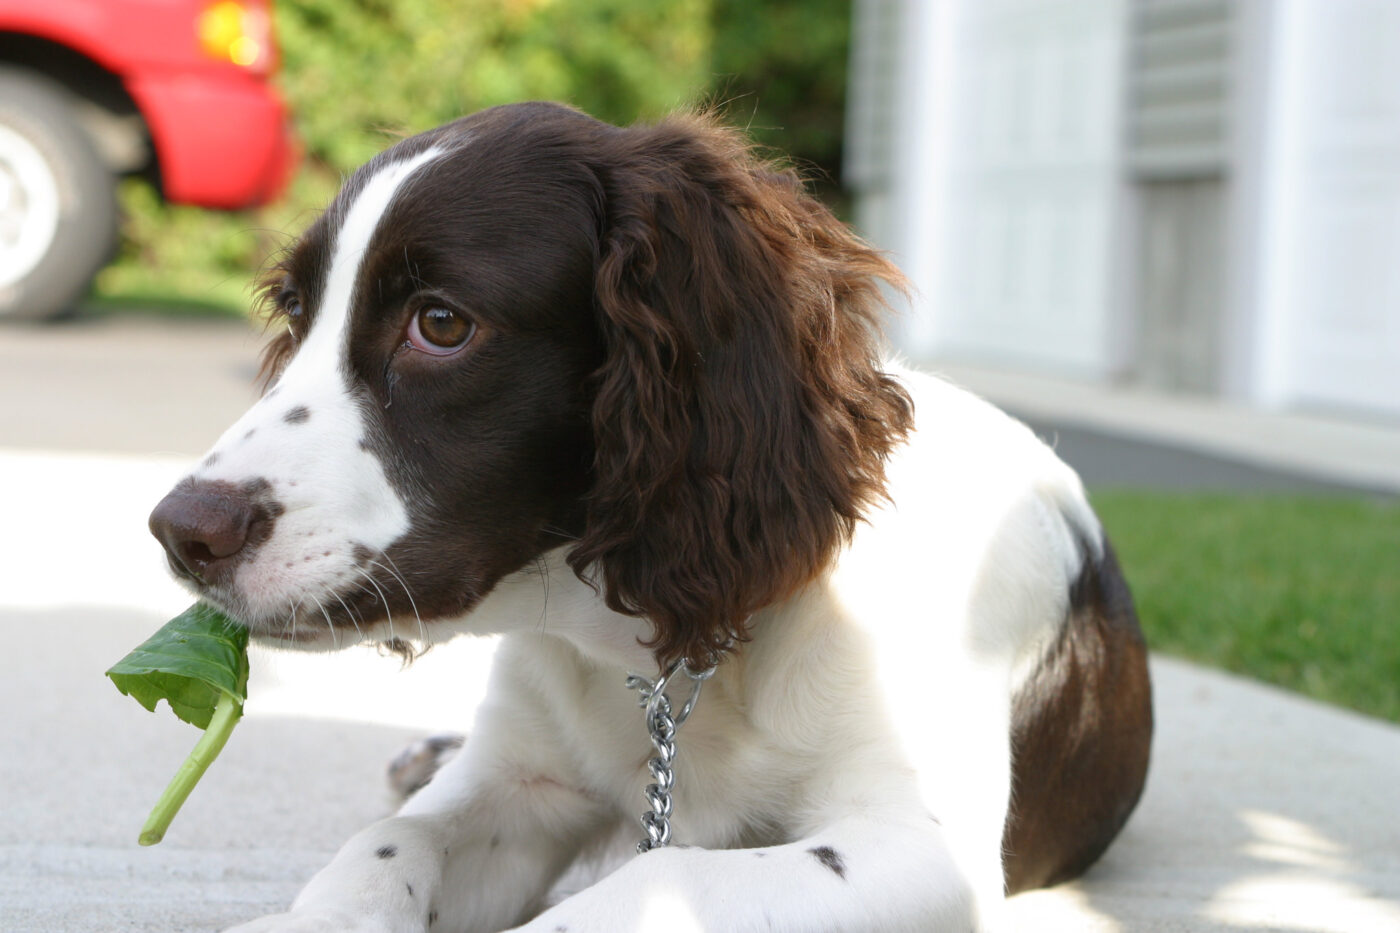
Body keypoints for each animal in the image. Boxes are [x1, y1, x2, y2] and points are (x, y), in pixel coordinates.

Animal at [144, 103, 1148, 930]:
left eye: (441, 323)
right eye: (296, 310)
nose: (181, 533)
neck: (677, 649)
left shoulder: (918, 845)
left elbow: (662, 877)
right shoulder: (522, 779)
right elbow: (388, 845)